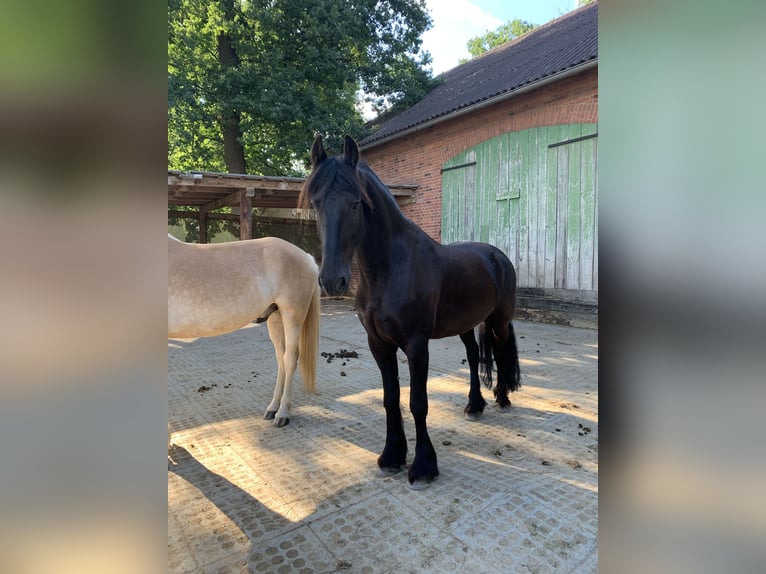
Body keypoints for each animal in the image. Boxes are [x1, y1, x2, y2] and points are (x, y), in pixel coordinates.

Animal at [168, 234, 320, 431]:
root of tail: (307, 258)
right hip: (275, 318)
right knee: (281, 359)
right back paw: (272, 408)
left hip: (292, 317)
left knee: (289, 360)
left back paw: (282, 414)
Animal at [299, 134, 521, 488]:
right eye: (317, 202)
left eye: (356, 203)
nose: (333, 280)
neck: (391, 268)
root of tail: (496, 255)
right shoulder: (378, 344)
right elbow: (390, 398)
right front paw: (391, 456)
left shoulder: (417, 344)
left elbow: (418, 402)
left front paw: (423, 466)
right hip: (466, 324)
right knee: (475, 357)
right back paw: (475, 405)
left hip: (499, 319)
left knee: (500, 351)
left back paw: (502, 397)